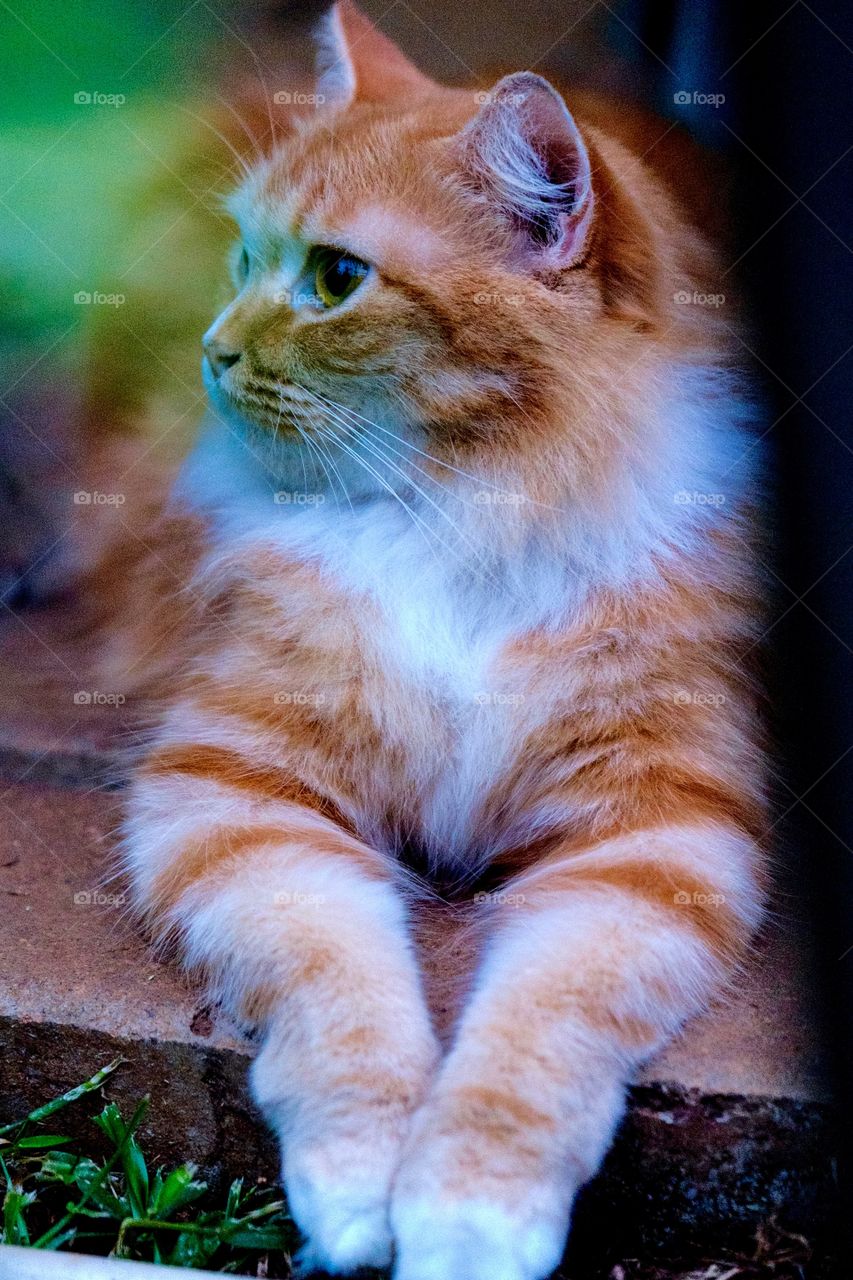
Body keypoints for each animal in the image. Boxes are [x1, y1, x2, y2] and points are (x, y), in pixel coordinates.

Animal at [119, 5, 763, 1274]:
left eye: (336, 278)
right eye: (244, 259)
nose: (213, 349)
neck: (456, 513)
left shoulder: (652, 835)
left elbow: (537, 1031)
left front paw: (469, 1214)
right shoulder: (239, 797)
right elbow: (339, 991)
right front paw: (361, 1180)